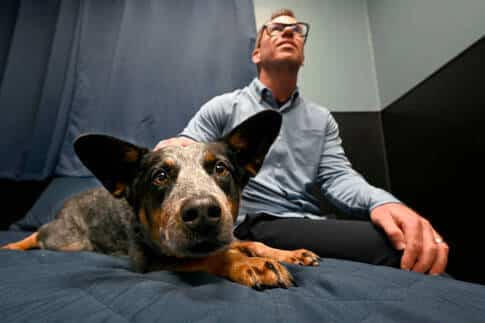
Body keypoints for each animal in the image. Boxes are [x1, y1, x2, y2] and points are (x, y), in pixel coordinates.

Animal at [4, 111, 322, 292]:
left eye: (220, 168)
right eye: (159, 176)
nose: (203, 212)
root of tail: (66, 205)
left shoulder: (228, 236)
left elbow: (251, 242)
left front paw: (288, 253)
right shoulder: (152, 261)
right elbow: (214, 256)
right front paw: (251, 265)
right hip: (69, 241)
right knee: (39, 234)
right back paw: (12, 246)